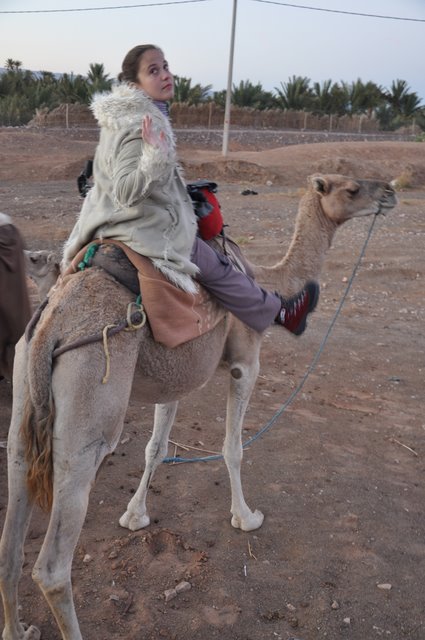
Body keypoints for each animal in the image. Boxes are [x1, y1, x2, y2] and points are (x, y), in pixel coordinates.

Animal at [0, 174, 396, 640]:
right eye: (351, 188)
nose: (389, 192)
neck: (269, 280)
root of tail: (51, 328)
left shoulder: (176, 377)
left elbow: (155, 448)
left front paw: (135, 515)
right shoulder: (246, 362)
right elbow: (233, 448)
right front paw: (245, 517)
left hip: (24, 401)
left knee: (9, 544)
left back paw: (19, 629)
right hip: (88, 409)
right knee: (52, 567)